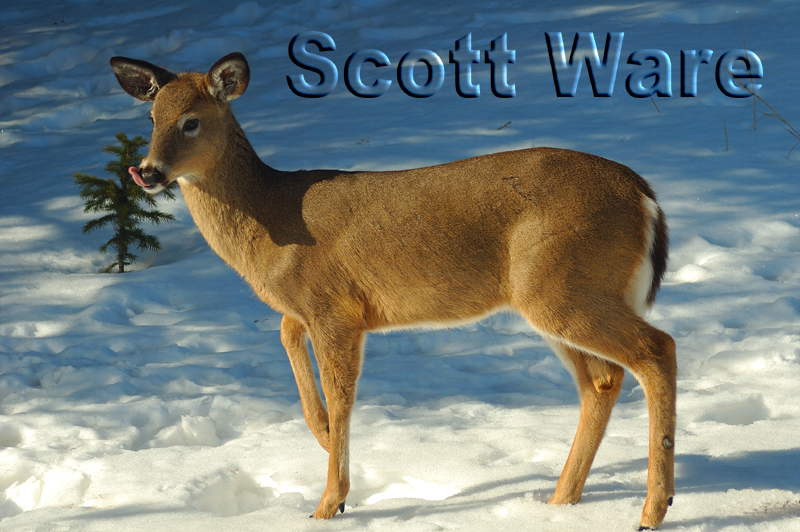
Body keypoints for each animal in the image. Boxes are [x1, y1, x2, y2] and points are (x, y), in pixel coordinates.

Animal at [110, 52, 676, 530]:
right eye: (151, 118)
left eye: (192, 120)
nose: (148, 171)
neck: (269, 223)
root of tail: (644, 196)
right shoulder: (306, 309)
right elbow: (288, 340)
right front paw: (321, 439)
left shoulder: (336, 306)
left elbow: (341, 394)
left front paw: (330, 502)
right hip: (558, 295)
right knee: (601, 381)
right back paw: (560, 502)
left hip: (561, 285)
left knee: (656, 349)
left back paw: (653, 507)